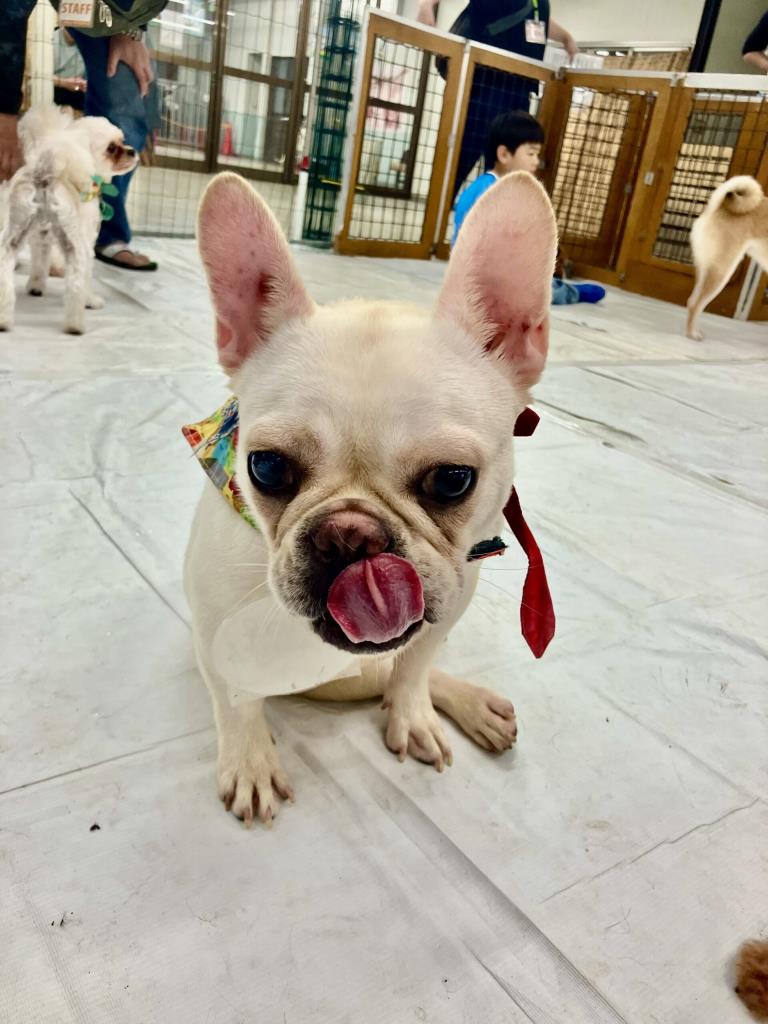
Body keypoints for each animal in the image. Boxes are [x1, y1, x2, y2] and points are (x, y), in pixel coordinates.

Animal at [0, 105, 137, 335]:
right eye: (111, 148)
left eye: (122, 140)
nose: (132, 151)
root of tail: (45, 175)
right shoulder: (87, 240)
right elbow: (86, 275)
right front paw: (91, 301)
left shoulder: (41, 237)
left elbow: (40, 263)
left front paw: (36, 287)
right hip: (73, 243)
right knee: (75, 285)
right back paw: (76, 324)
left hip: (14, 233)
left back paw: (3, 321)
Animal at [184, 170, 557, 827]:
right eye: (266, 468)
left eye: (453, 480)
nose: (350, 534)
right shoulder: (214, 628)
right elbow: (236, 700)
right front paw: (250, 760)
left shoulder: (453, 595)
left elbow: (415, 667)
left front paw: (414, 716)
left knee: (395, 669)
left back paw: (468, 705)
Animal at [686, 175, 768, 340]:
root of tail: (718, 207)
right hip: (722, 272)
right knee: (695, 304)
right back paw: (692, 334)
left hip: (706, 270)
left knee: (691, 301)